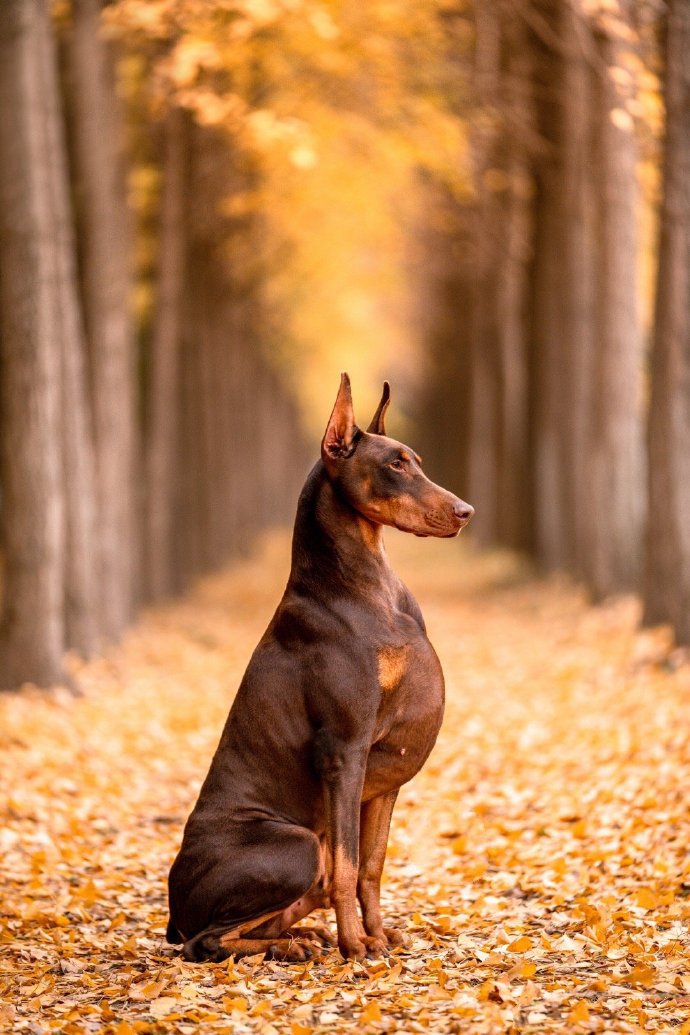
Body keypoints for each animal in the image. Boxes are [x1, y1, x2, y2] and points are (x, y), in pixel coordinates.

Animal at [165, 372, 475, 960]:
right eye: (395, 464)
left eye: (418, 460)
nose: (466, 510)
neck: (366, 581)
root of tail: (173, 910)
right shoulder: (343, 750)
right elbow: (347, 868)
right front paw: (357, 944)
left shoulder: (384, 771)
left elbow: (370, 865)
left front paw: (376, 933)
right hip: (298, 840)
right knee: (205, 941)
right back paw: (293, 946)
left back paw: (299, 936)